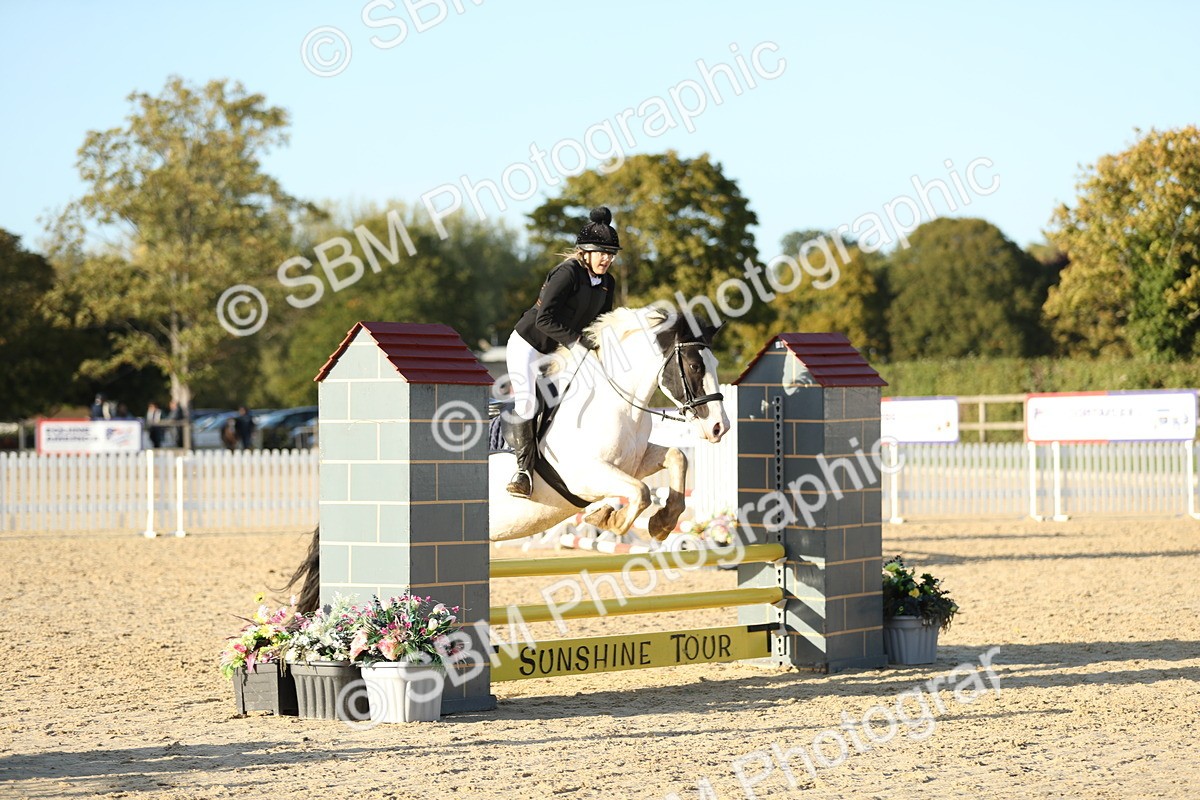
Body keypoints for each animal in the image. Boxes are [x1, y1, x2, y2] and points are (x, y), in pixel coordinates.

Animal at [284, 305, 729, 613]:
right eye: (693, 365)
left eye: (716, 364)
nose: (719, 428)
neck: (614, 399)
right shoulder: (585, 474)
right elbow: (638, 493)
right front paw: (608, 518)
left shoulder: (635, 460)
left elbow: (675, 459)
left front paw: (663, 522)